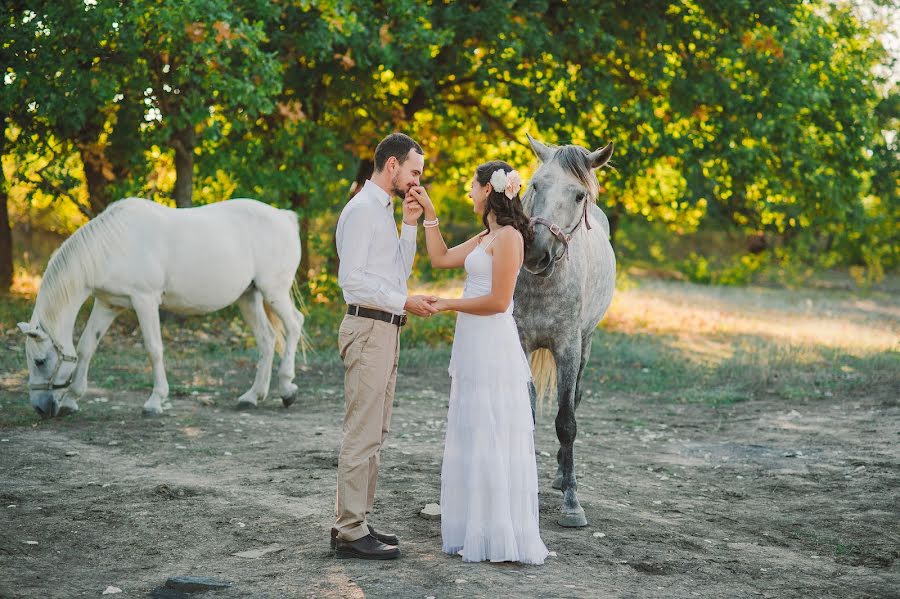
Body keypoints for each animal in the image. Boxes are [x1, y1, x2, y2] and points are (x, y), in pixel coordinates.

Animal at [16, 199, 306, 420]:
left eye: (40, 361)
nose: (40, 408)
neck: (113, 246)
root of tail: (285, 217)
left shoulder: (145, 301)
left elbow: (154, 349)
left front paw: (155, 402)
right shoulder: (108, 304)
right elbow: (87, 347)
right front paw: (72, 400)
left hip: (274, 291)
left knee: (294, 324)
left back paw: (287, 389)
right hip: (249, 297)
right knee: (267, 339)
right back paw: (252, 397)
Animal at [512, 134, 620, 528]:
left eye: (578, 196)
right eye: (534, 185)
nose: (536, 253)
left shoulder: (569, 347)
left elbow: (566, 422)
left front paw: (572, 504)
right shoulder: (520, 342)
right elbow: (526, 413)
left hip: (585, 344)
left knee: (574, 399)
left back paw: (562, 476)